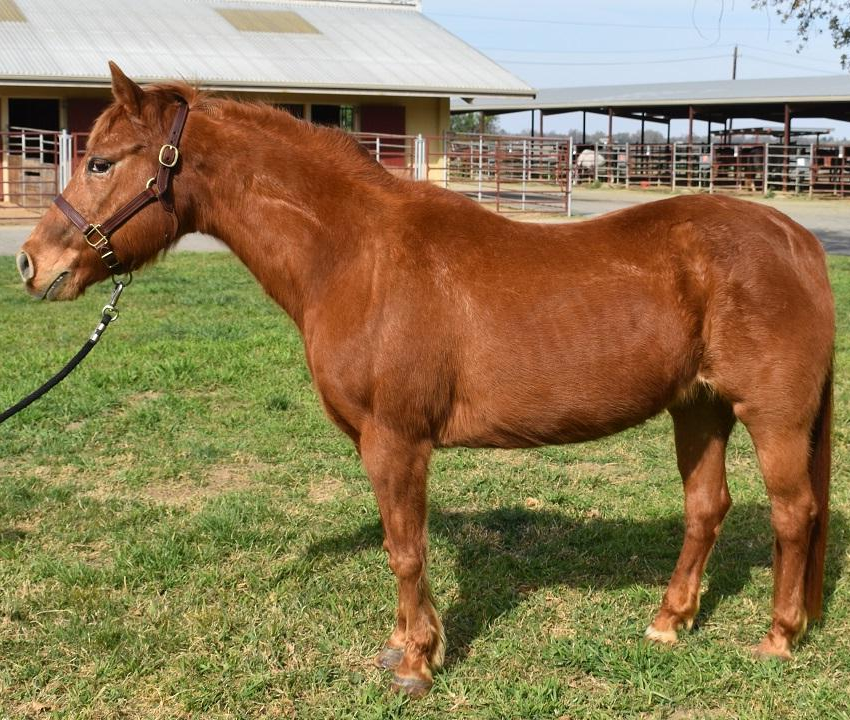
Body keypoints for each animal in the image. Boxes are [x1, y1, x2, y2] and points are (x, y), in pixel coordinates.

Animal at [16, 64, 834, 699]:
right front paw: (410, 645)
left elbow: (405, 550)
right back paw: (669, 622)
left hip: (772, 417)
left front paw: (415, 663)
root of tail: (796, 239)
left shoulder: (396, 440)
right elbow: (401, 547)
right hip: (698, 409)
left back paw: (777, 637)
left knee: (794, 513)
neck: (354, 255)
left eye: (101, 162)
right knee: (707, 508)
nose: (32, 262)